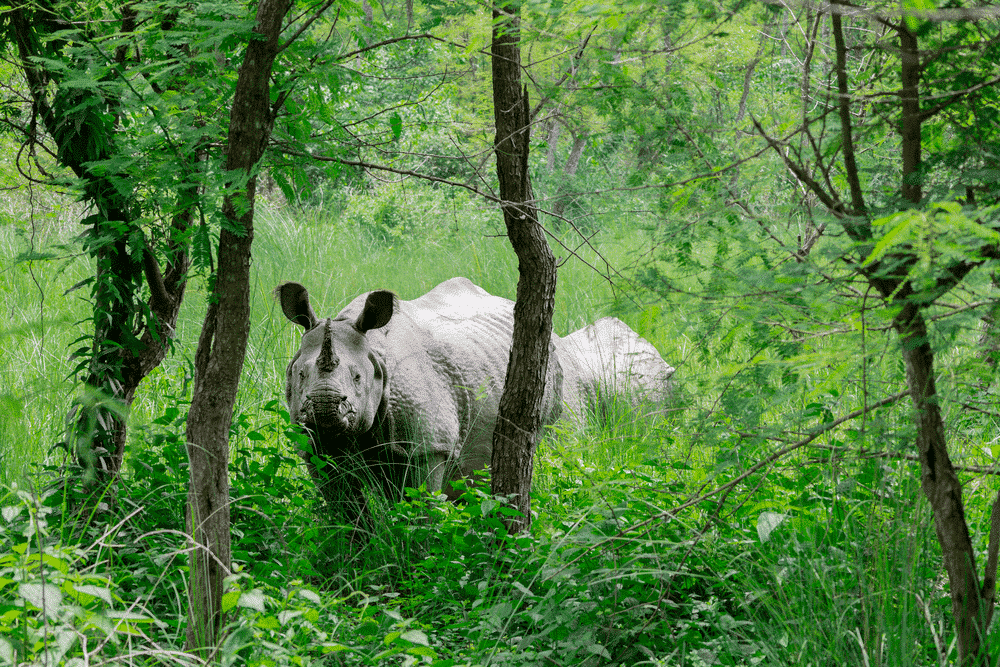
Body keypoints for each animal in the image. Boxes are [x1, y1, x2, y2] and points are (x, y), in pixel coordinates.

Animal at [276, 277, 673, 515]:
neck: (374, 351)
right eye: (299, 375)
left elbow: (419, 507)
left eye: (358, 378)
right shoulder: (315, 449)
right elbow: (344, 512)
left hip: (554, 374)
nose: (324, 408)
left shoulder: (428, 446)